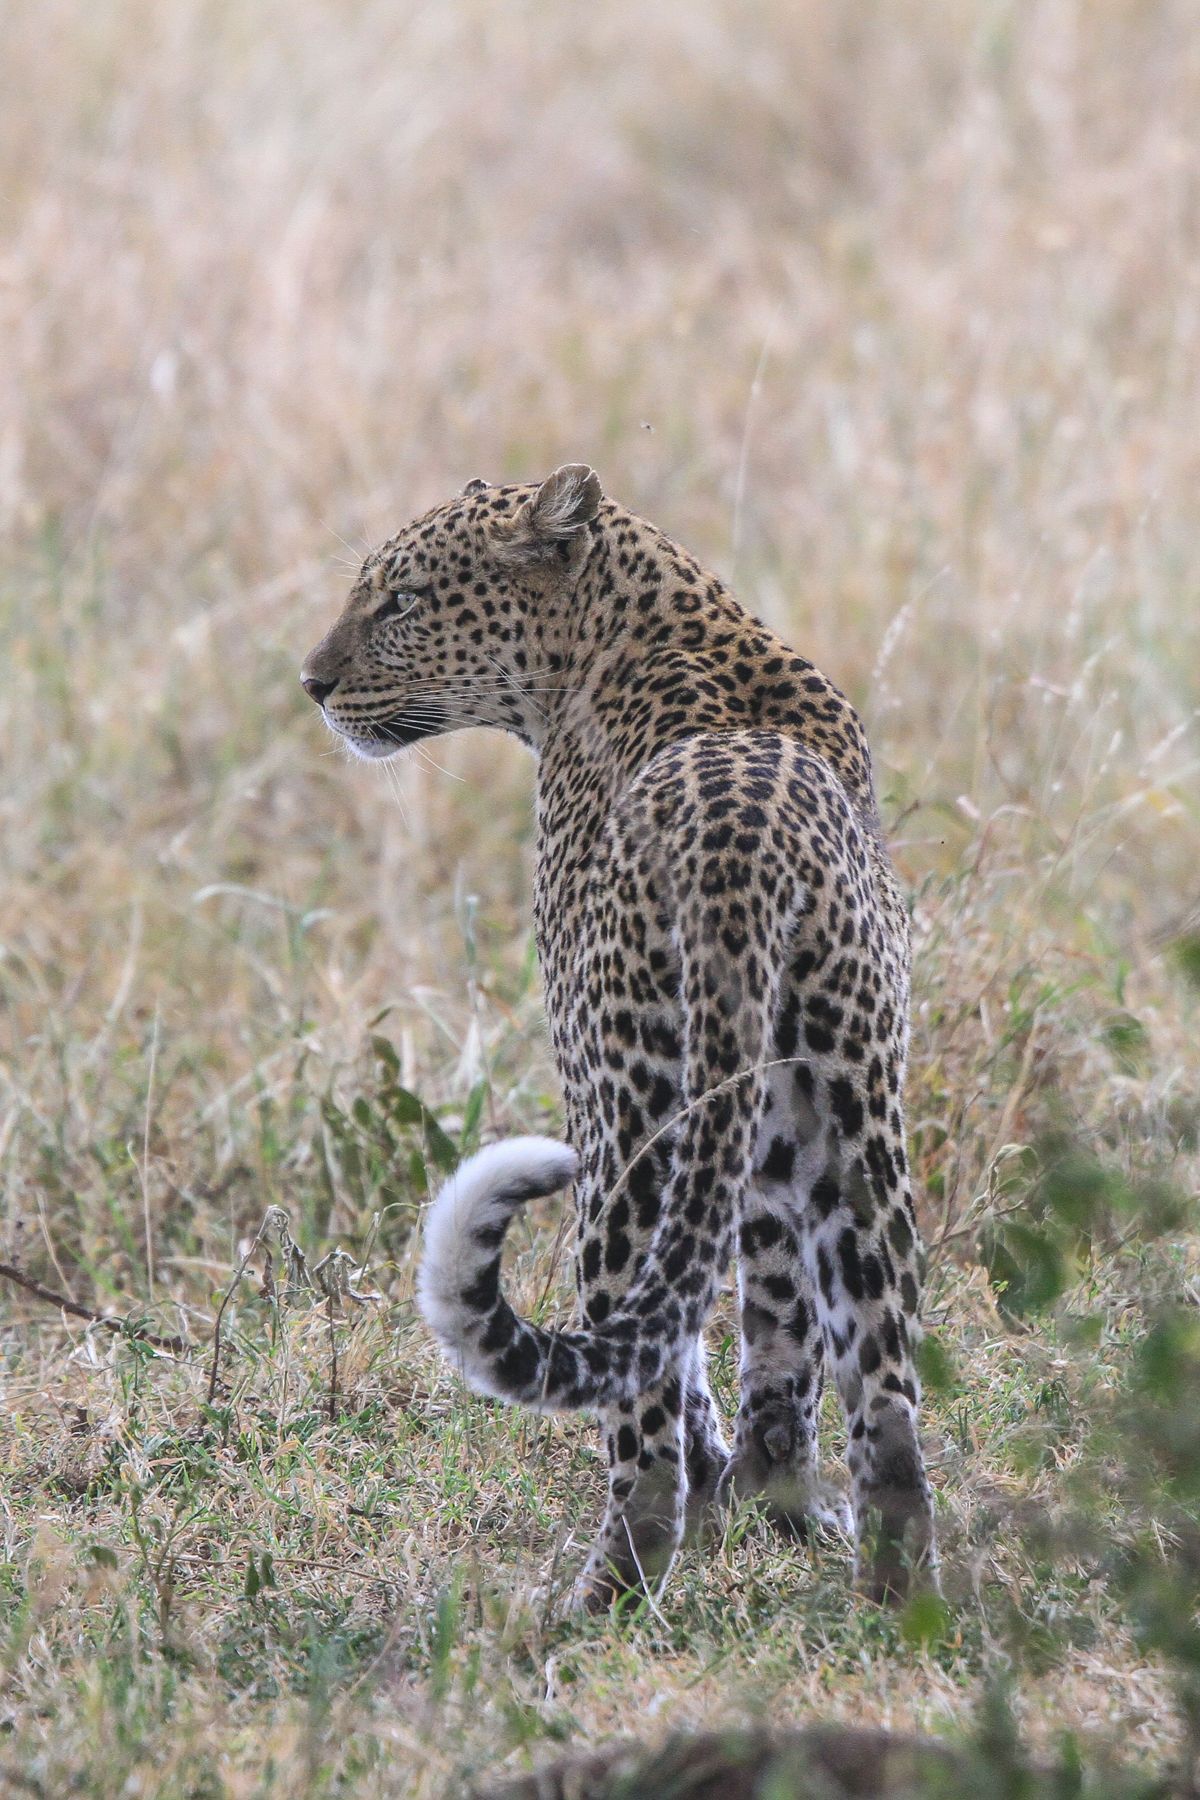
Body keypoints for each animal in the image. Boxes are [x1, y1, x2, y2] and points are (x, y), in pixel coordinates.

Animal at [300, 460, 935, 1605]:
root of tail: (743, 854)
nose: (311, 684)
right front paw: (775, 1501)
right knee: (882, 1390)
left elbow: (678, 1355)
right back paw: (902, 1605)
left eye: (400, 601)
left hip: (621, 1128)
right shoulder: (770, 1143)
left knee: (636, 1418)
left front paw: (734, 1490)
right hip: (856, 1127)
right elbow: (774, 1327)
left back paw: (598, 1602)